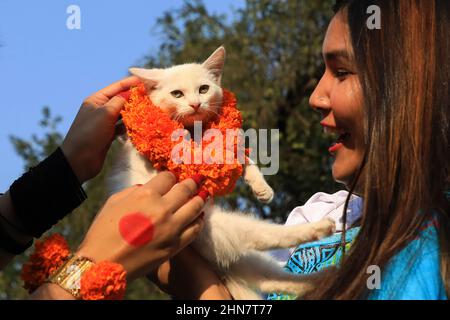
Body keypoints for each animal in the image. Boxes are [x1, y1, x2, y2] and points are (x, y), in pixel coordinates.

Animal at [110, 46, 336, 298]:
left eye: (204, 89)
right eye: (177, 94)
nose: (195, 104)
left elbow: (243, 158)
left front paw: (262, 189)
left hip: (243, 256)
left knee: (273, 278)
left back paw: (322, 277)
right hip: (220, 230)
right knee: (264, 238)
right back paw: (320, 230)